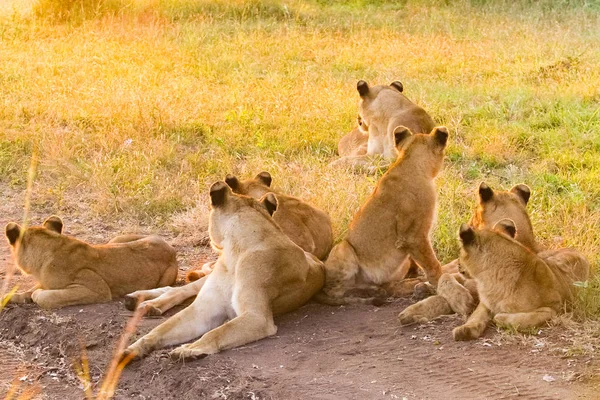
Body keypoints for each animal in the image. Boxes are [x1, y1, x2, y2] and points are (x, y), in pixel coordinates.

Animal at [4, 217, 178, 308]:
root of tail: (171, 248)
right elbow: (31, 289)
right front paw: (13, 297)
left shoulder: (97, 289)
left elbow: (45, 296)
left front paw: (35, 295)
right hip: (116, 240)